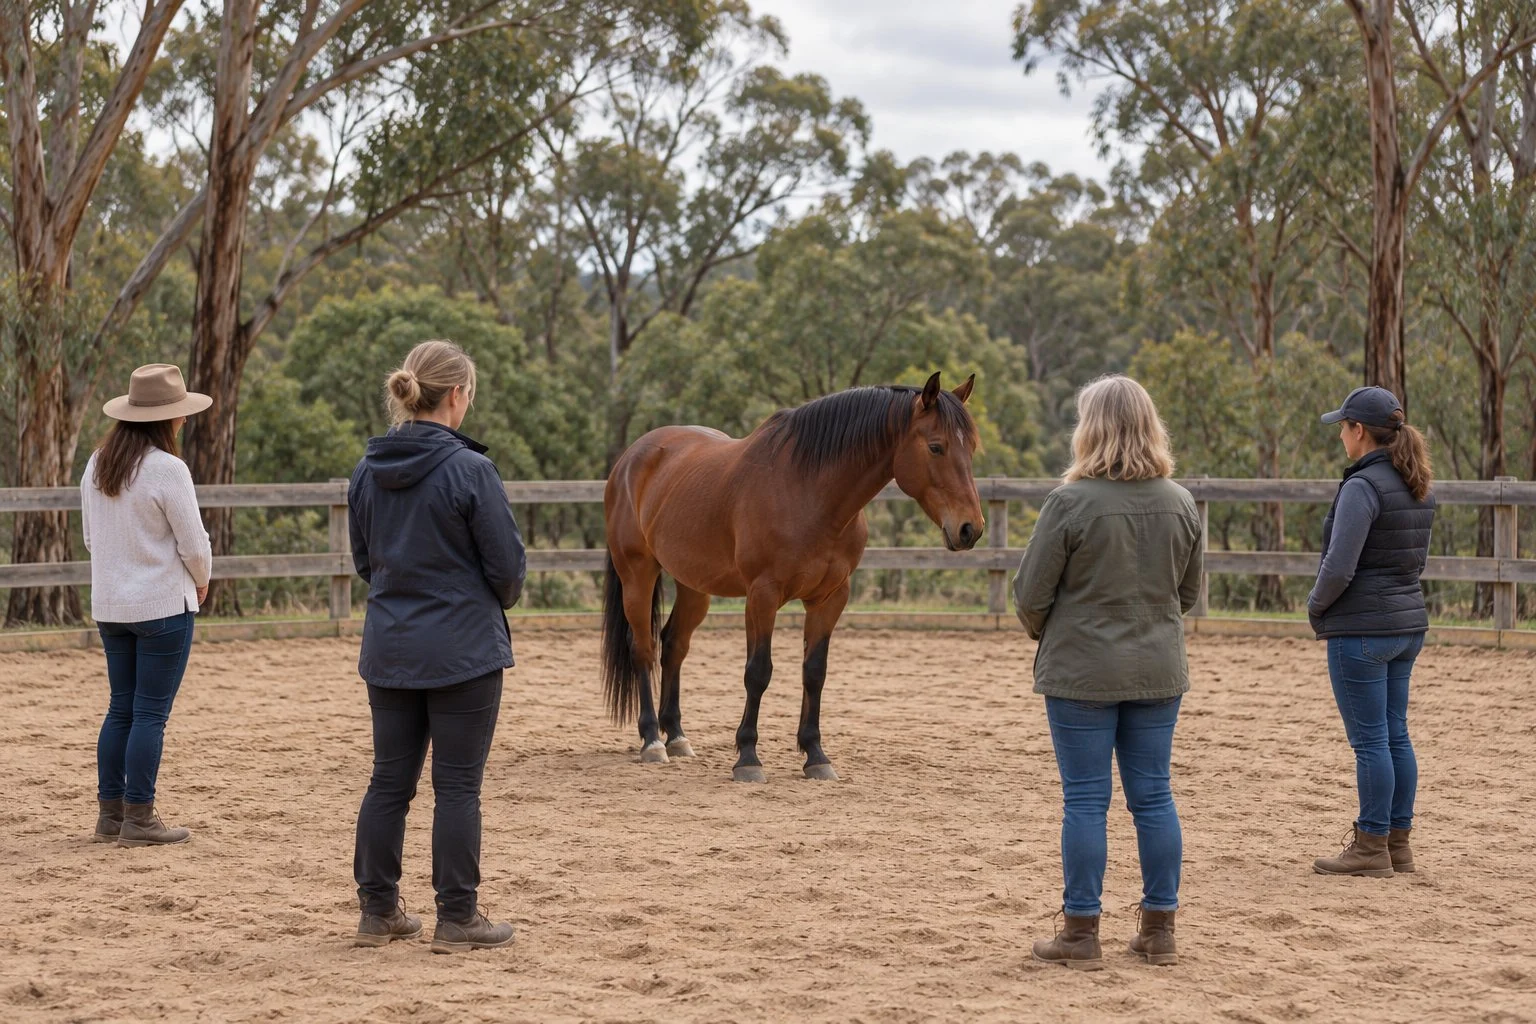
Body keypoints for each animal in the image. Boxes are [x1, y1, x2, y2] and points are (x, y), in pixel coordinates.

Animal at [600, 371, 985, 782]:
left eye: (971, 448)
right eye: (936, 447)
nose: (970, 529)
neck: (809, 492)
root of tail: (630, 458)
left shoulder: (830, 598)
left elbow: (815, 672)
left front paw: (816, 755)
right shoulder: (762, 596)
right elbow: (758, 672)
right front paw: (748, 758)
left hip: (693, 585)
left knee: (673, 645)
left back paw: (676, 737)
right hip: (638, 573)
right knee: (643, 648)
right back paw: (652, 741)